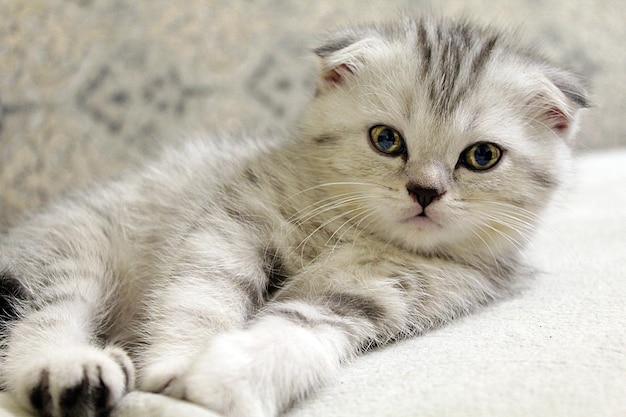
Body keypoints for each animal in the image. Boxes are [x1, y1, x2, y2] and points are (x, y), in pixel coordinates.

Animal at [0, 14, 584, 416]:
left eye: (482, 156)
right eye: (386, 140)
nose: (424, 190)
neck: (354, 233)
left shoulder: (384, 291)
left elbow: (300, 327)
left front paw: (226, 380)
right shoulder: (232, 222)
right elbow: (201, 291)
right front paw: (177, 363)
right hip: (76, 245)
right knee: (42, 316)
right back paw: (72, 371)